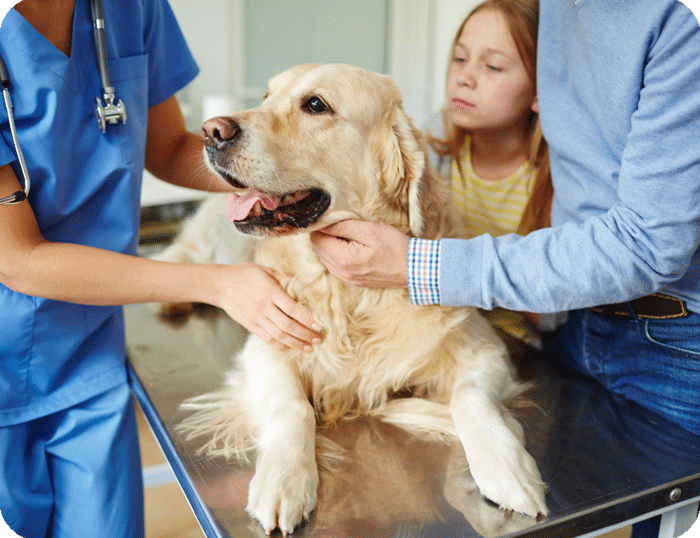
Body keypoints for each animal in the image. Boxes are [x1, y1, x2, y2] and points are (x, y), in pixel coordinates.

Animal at [161, 62, 548, 532]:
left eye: (315, 104)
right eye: (267, 96)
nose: (211, 132)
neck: (348, 295)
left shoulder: (483, 346)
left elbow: (470, 397)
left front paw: (507, 469)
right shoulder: (267, 342)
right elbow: (293, 406)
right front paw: (285, 479)